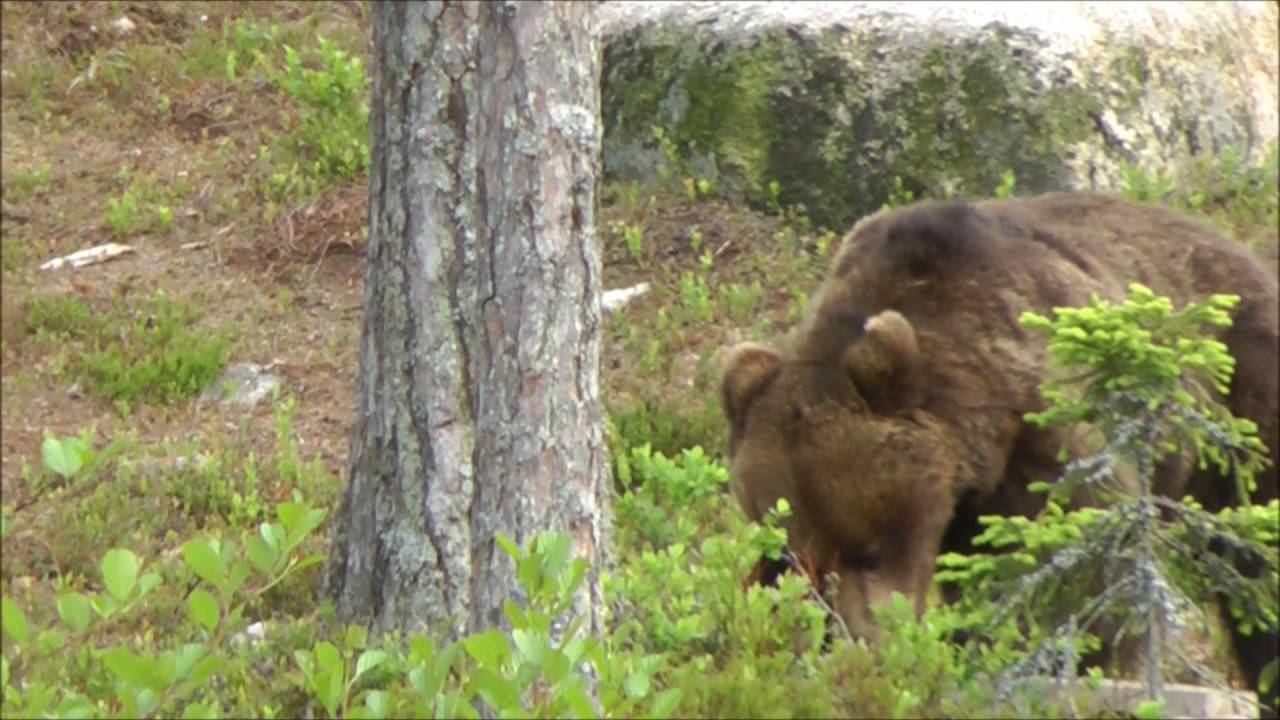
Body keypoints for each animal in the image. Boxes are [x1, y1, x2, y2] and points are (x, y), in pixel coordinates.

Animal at [720, 191, 1279, 713]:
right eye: (799, 557)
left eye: (870, 548)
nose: (861, 644)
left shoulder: (1043, 427)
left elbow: (1073, 563)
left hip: (1237, 396)